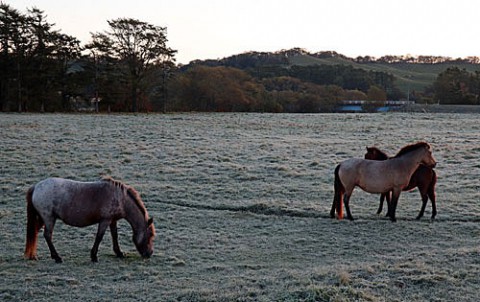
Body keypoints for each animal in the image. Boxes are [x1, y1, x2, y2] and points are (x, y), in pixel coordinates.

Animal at [24, 176, 156, 264]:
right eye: (150, 235)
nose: (149, 254)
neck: (121, 199)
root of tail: (36, 187)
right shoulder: (105, 220)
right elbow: (99, 237)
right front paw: (94, 256)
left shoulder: (112, 220)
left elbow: (114, 235)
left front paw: (119, 253)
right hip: (49, 218)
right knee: (47, 235)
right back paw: (57, 257)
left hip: (43, 219)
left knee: (35, 233)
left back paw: (33, 255)